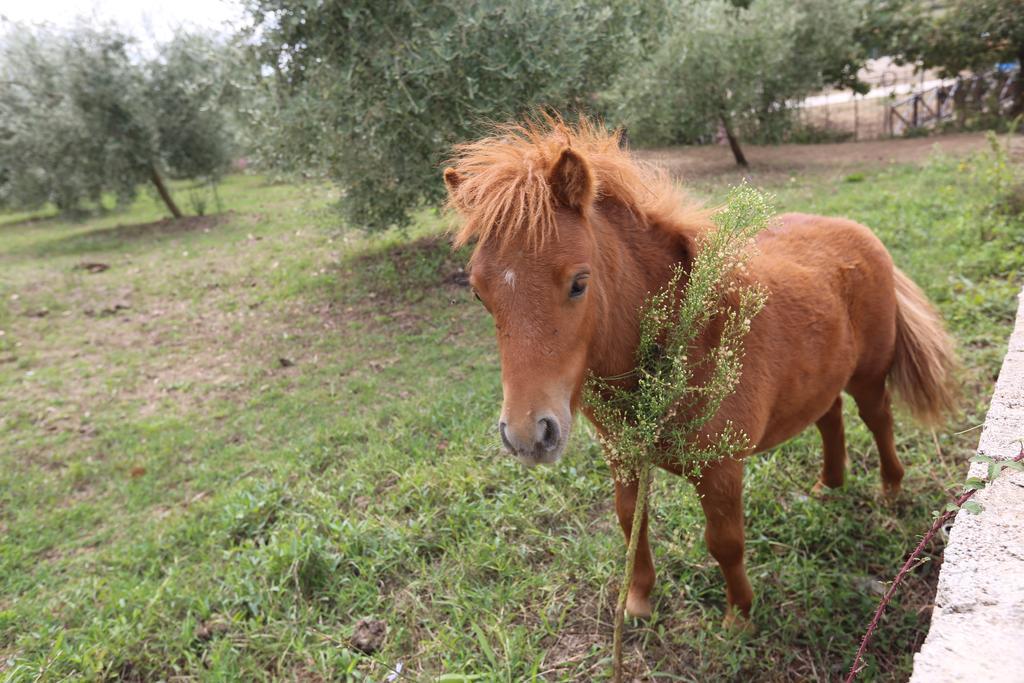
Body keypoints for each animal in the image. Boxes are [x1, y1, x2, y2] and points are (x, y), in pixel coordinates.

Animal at [442, 116, 958, 626]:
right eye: (478, 293)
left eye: (578, 282)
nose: (528, 435)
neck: (683, 338)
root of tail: (861, 233)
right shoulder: (624, 458)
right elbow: (631, 523)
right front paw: (638, 600)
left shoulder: (720, 472)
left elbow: (725, 543)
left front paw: (738, 616)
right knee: (829, 416)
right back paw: (828, 487)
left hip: (868, 377)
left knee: (878, 419)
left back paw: (890, 489)